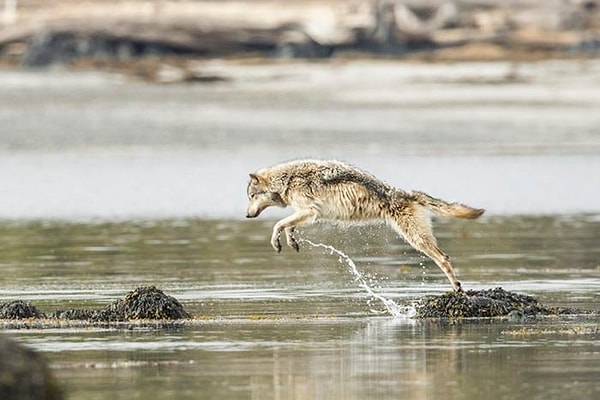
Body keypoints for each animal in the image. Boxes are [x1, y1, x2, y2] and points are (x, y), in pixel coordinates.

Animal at [246, 158, 486, 292]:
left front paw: (276, 242)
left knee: (444, 259)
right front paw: (291, 241)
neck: (287, 179)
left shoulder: (309, 211)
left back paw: (457, 288)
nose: (247, 215)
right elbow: (288, 226)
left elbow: (278, 224)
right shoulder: (306, 214)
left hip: (416, 239)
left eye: (251, 196)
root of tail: (407, 193)